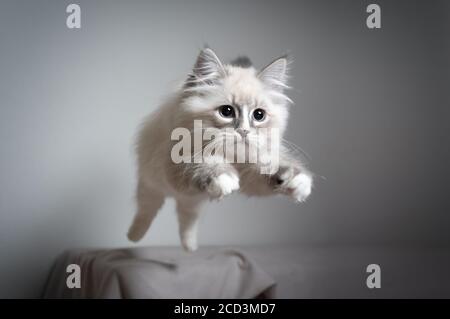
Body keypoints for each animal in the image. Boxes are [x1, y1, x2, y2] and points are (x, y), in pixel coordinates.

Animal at [127, 48, 312, 252]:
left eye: (259, 115)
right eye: (227, 112)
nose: (244, 131)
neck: (230, 156)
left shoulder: (251, 170)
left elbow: (274, 170)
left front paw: (298, 182)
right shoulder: (176, 163)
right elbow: (204, 162)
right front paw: (224, 178)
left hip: (193, 201)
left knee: (187, 219)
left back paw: (190, 247)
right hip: (152, 187)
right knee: (146, 211)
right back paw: (133, 237)